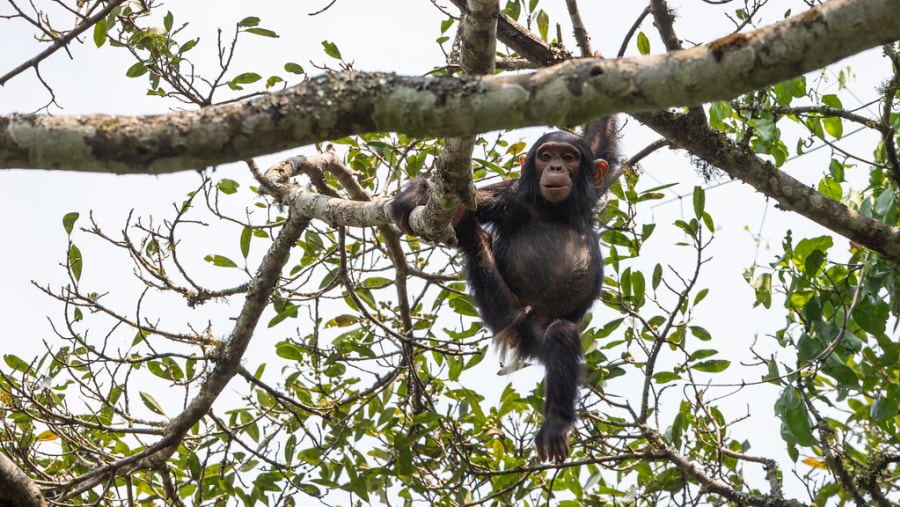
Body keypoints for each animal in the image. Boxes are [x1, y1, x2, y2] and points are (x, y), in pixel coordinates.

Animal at [390, 118, 616, 464]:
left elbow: (601, 138)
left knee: (560, 334)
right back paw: (556, 424)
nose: (555, 167)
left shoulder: (592, 188)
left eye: (569, 157)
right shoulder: (509, 199)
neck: (556, 210)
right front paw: (414, 195)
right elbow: (468, 197)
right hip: (511, 317)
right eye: (546, 156)